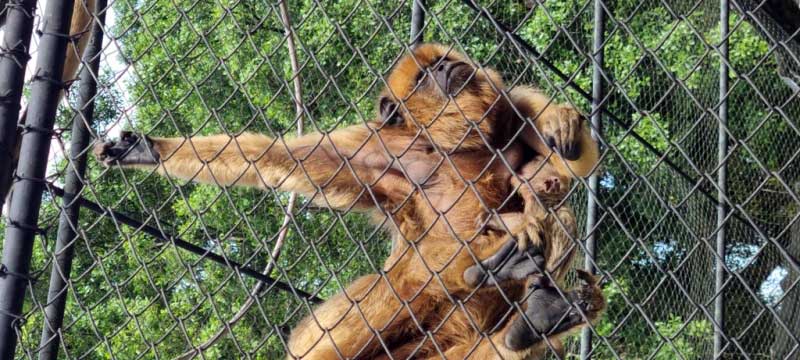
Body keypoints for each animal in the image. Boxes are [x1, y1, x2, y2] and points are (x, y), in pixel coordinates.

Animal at [94, 43, 604, 358]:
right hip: (403, 286)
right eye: (425, 76)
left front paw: (559, 121)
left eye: (442, 61)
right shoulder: (379, 151)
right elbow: (276, 157)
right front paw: (149, 151)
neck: (456, 146)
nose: (446, 69)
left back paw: (531, 319)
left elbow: (566, 164)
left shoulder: (506, 125)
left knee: (557, 211)